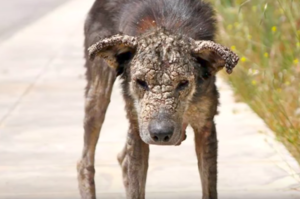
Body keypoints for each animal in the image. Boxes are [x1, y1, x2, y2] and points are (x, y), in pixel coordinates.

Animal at [77, 0, 239, 198]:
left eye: (183, 83)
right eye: (141, 82)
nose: (160, 134)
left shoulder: (205, 125)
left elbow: (209, 189)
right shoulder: (137, 126)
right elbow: (136, 189)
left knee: (122, 159)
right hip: (98, 91)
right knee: (85, 162)